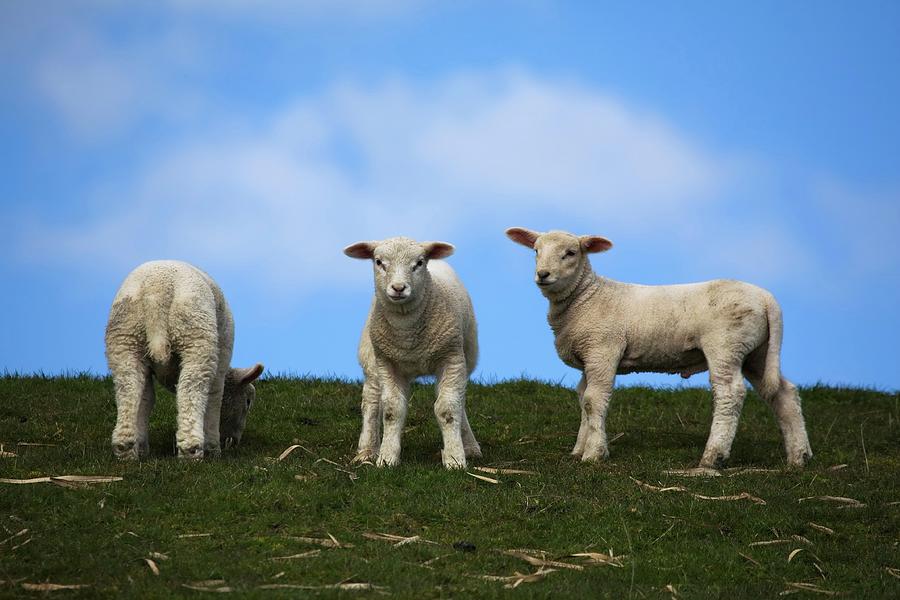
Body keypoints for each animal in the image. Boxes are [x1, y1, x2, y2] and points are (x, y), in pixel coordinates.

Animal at [104, 260, 264, 462]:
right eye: (248, 402)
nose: (233, 442)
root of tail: (157, 289)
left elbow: (147, 399)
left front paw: (141, 448)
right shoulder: (222, 359)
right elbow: (215, 398)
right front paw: (213, 449)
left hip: (125, 336)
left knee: (129, 388)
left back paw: (125, 449)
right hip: (195, 335)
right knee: (192, 390)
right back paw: (191, 451)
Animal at [344, 236, 482, 468]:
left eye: (419, 263)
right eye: (379, 262)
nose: (398, 288)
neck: (407, 333)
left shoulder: (451, 358)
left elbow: (448, 409)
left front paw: (455, 458)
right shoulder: (387, 362)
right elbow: (392, 410)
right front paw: (387, 457)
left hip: (466, 355)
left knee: (458, 400)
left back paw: (470, 446)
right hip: (371, 357)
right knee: (371, 400)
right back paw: (367, 450)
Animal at [506, 226, 816, 468]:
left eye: (570, 253)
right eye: (536, 250)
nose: (543, 274)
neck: (586, 298)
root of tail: (766, 298)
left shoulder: (603, 349)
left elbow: (594, 399)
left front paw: (594, 454)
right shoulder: (589, 357)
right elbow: (583, 399)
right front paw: (579, 450)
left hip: (726, 344)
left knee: (730, 393)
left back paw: (713, 457)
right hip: (757, 351)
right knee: (783, 393)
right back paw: (798, 457)